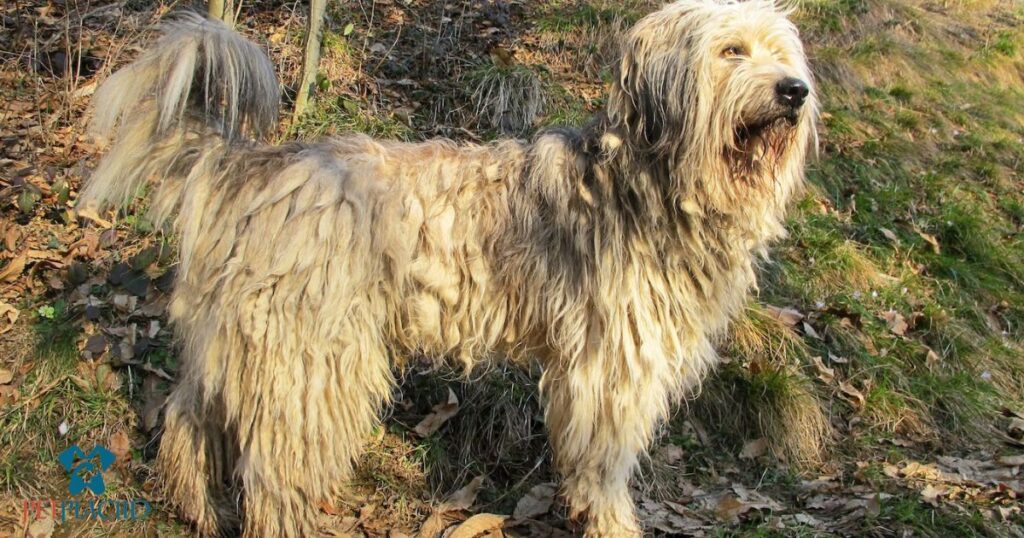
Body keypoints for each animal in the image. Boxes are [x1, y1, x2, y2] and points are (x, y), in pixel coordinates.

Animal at [79, 1, 815, 532]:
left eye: (781, 53)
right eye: (731, 51)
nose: (795, 91)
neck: (648, 183)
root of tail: (254, 165)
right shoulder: (609, 371)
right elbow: (603, 467)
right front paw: (614, 525)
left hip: (240, 338)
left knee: (188, 419)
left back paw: (197, 508)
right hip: (313, 358)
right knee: (275, 469)